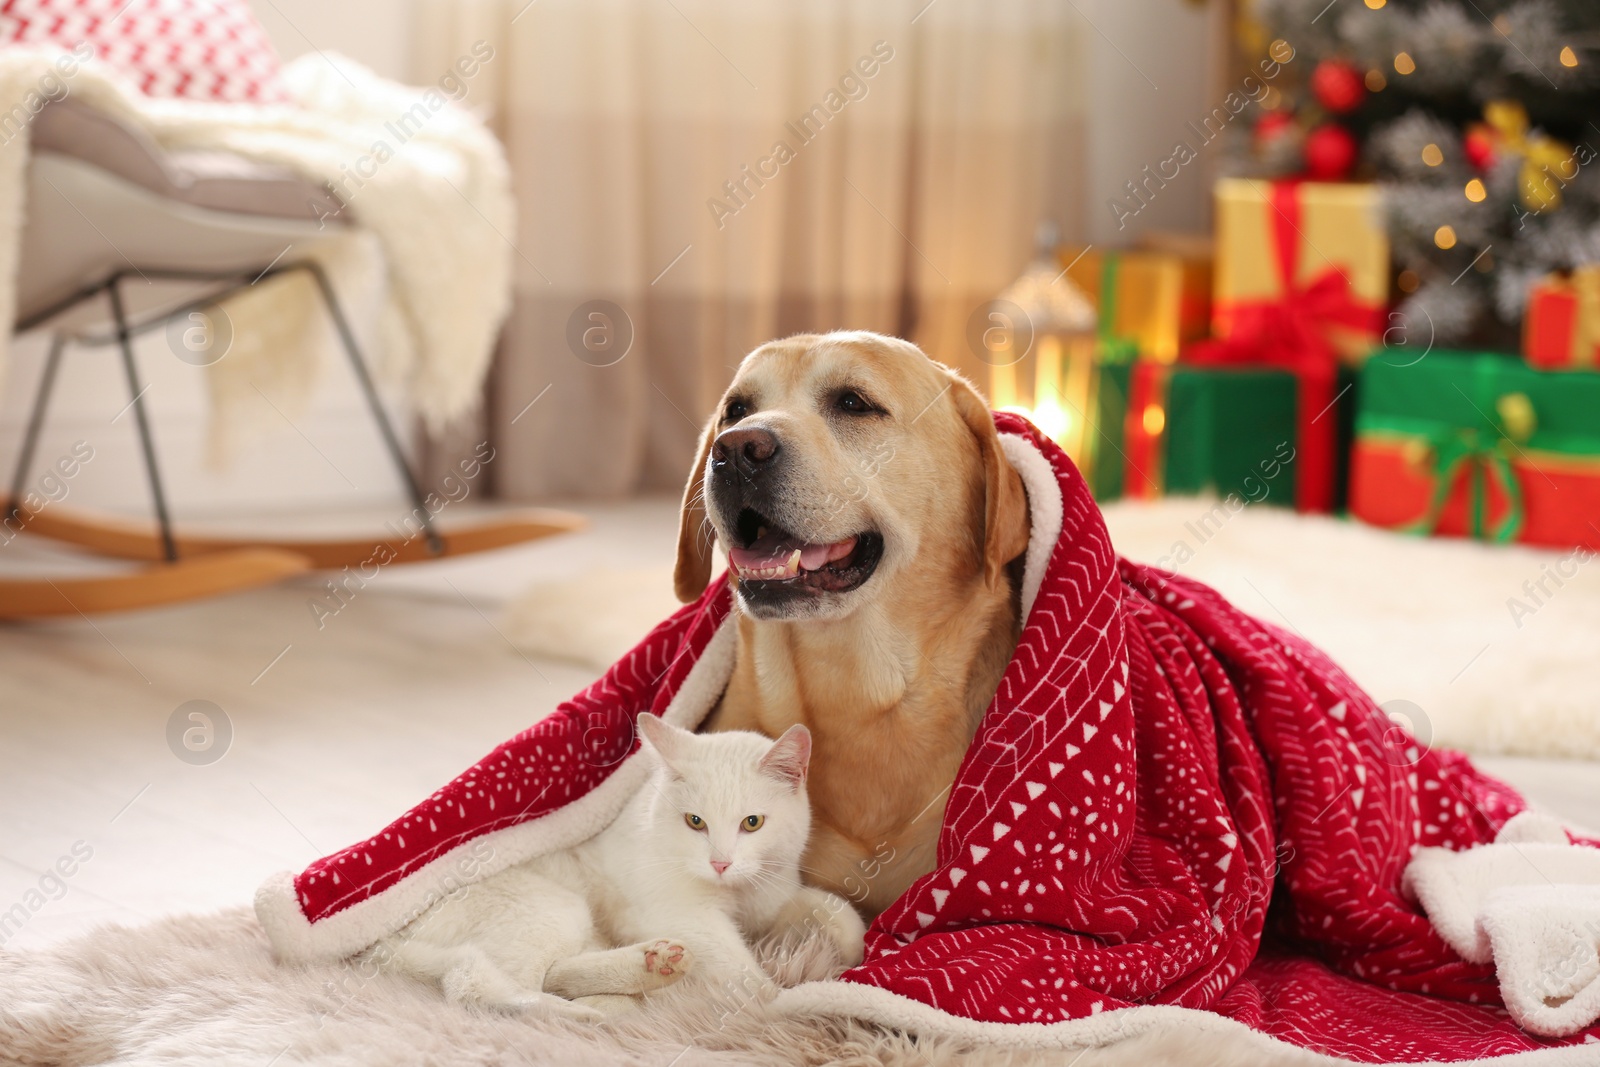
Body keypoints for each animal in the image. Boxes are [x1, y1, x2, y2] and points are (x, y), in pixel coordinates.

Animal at [376, 713, 870, 1023]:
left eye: (753, 823)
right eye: (695, 821)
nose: (720, 862)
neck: (737, 892)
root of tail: (386, 942)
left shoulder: (773, 894)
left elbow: (837, 911)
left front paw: (849, 954)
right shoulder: (681, 915)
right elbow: (744, 976)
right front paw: (783, 1000)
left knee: (556, 971)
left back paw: (649, 970)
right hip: (550, 906)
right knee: (478, 984)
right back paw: (586, 1010)